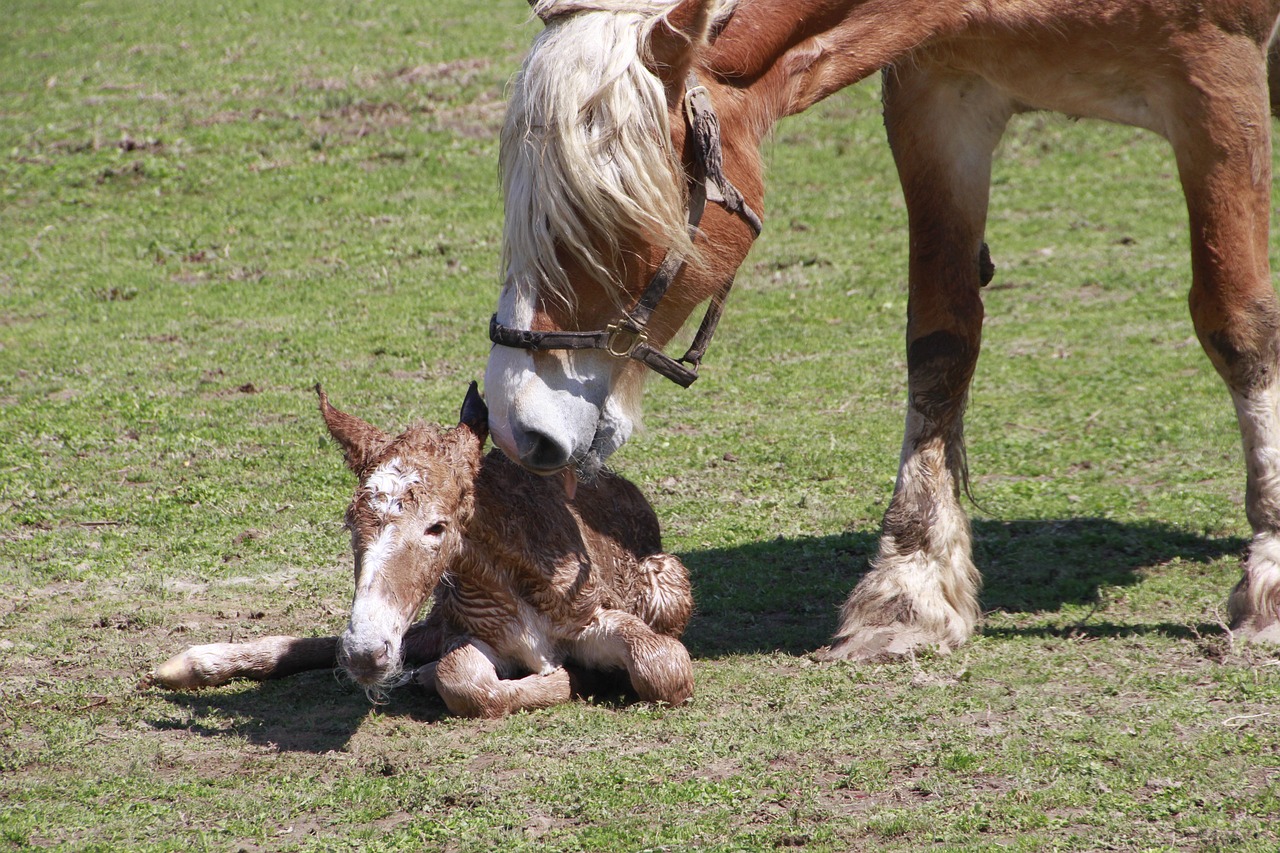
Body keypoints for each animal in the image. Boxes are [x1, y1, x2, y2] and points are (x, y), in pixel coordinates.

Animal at [153, 381, 696, 712]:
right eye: (350, 521)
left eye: (437, 526)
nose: (366, 653)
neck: (509, 581)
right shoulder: (467, 632)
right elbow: (463, 681)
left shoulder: (596, 616)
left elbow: (663, 668)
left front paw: (584, 677)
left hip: (670, 585)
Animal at [481, 0, 1280, 655]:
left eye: (610, 223)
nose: (518, 426)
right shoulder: (939, 94)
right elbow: (941, 341)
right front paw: (911, 584)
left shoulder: (1217, 78)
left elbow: (1238, 321)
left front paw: (1268, 573)